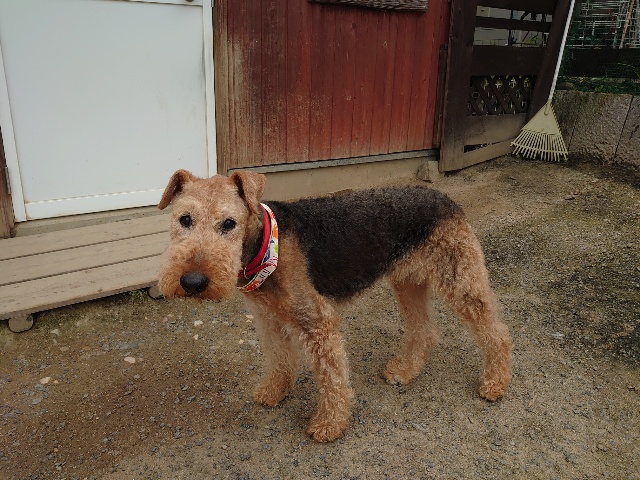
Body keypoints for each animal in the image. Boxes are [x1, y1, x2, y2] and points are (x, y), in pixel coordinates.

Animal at [157, 170, 512, 442]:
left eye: (229, 223)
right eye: (184, 219)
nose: (192, 282)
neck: (267, 245)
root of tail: (447, 199)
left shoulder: (317, 323)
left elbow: (333, 380)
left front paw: (329, 425)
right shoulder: (269, 317)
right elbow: (280, 359)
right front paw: (274, 392)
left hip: (460, 282)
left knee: (497, 332)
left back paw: (495, 384)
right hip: (408, 282)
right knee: (424, 331)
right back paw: (404, 371)